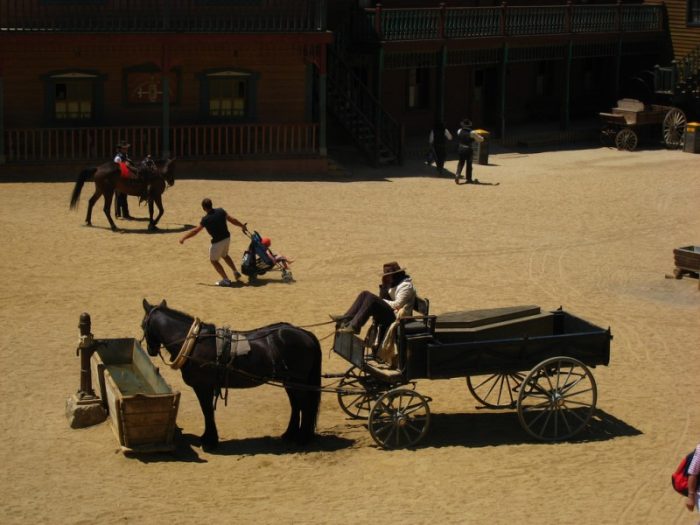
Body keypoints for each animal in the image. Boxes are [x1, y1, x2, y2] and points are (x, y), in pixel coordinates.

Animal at [142, 298, 322, 450]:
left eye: (143, 325)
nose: (150, 350)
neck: (194, 343)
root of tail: (305, 334)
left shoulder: (203, 387)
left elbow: (206, 410)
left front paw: (210, 440)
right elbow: (208, 410)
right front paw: (209, 438)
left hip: (297, 382)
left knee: (305, 406)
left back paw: (302, 439)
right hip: (289, 382)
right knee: (296, 405)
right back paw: (290, 434)